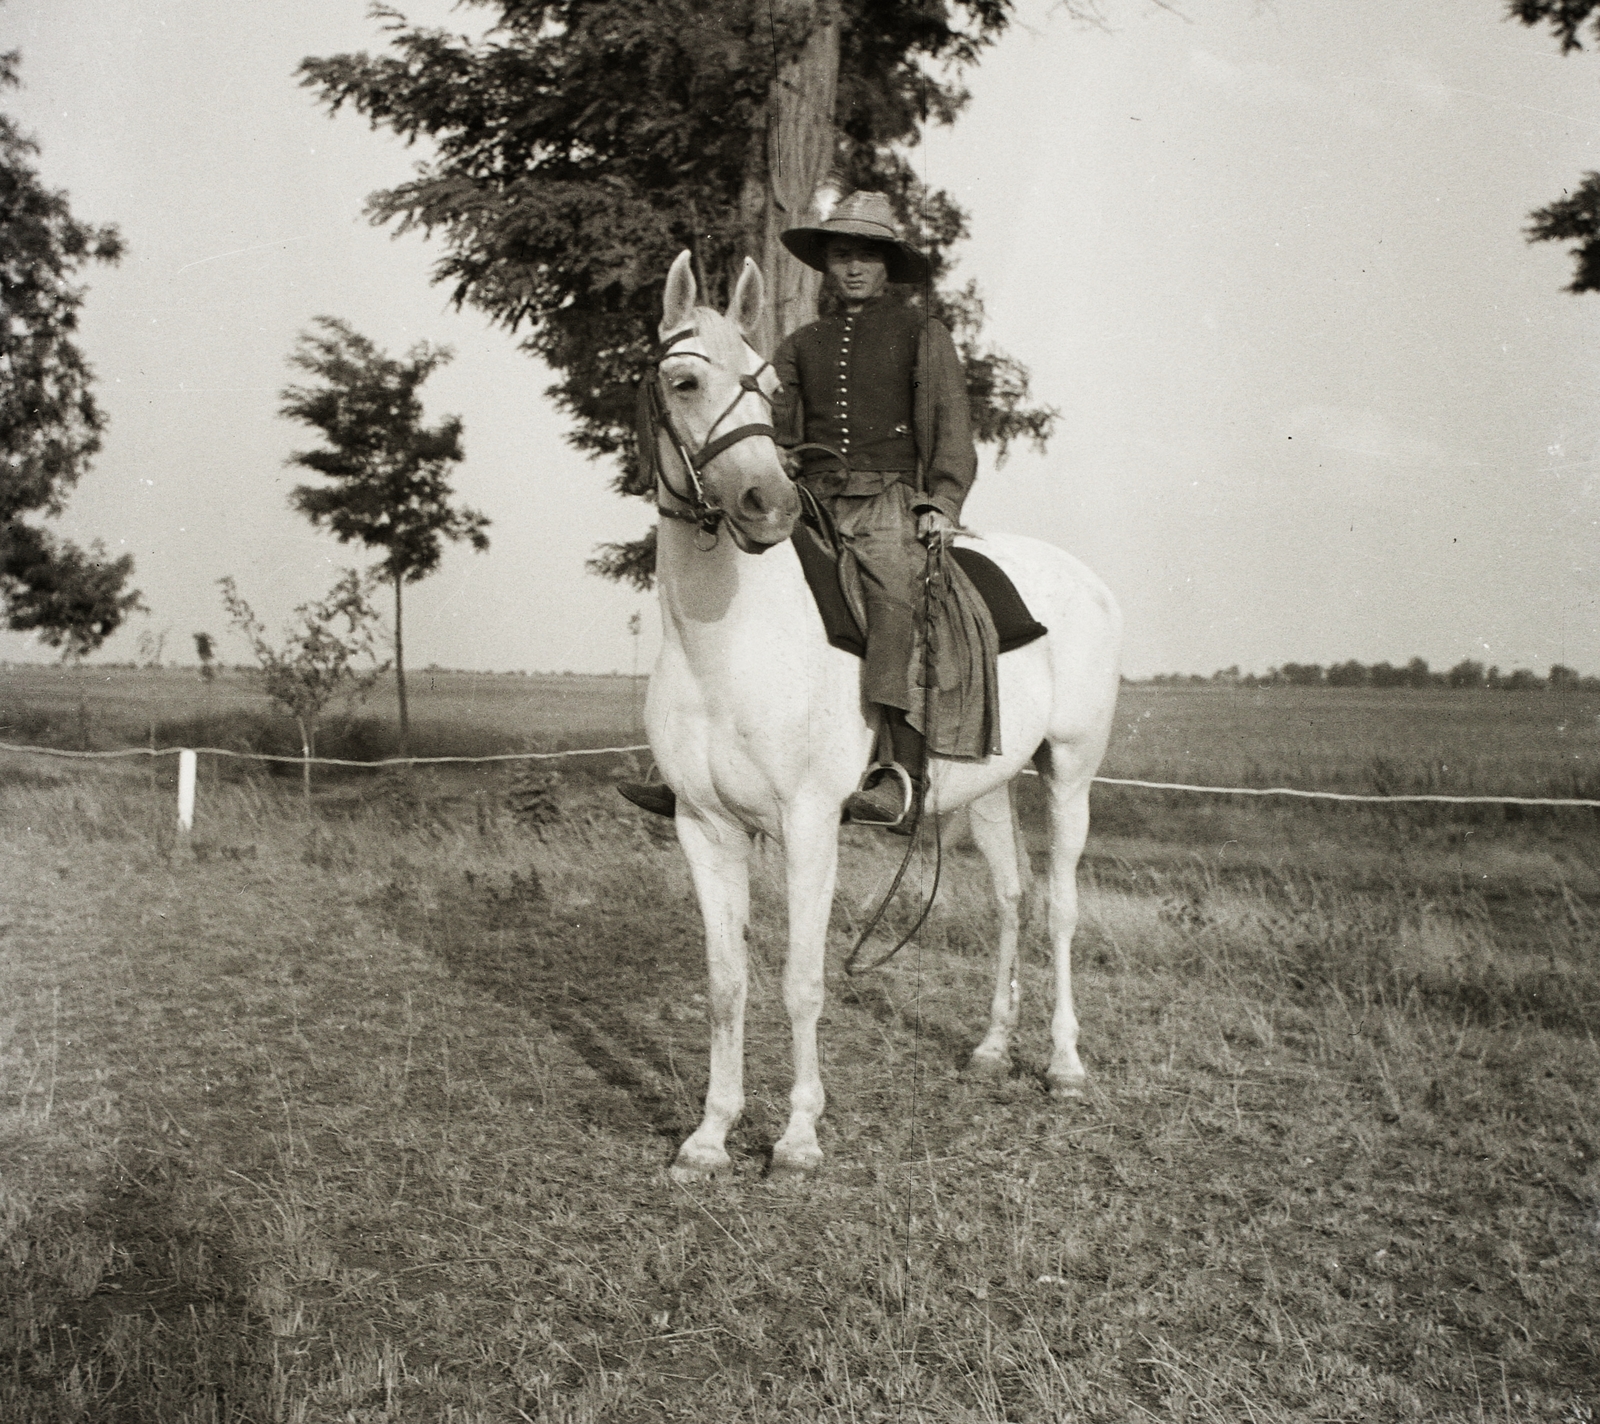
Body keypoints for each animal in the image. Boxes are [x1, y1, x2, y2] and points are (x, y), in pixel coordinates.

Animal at [640, 252, 1126, 1177]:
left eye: (765, 389)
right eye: (684, 381)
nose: (766, 505)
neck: (728, 642)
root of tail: (1083, 579)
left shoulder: (809, 825)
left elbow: (800, 980)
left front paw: (797, 1137)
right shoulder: (703, 827)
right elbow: (726, 984)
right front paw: (710, 1137)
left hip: (1070, 774)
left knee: (1059, 909)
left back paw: (1065, 1066)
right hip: (989, 788)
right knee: (1011, 899)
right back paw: (992, 1049)